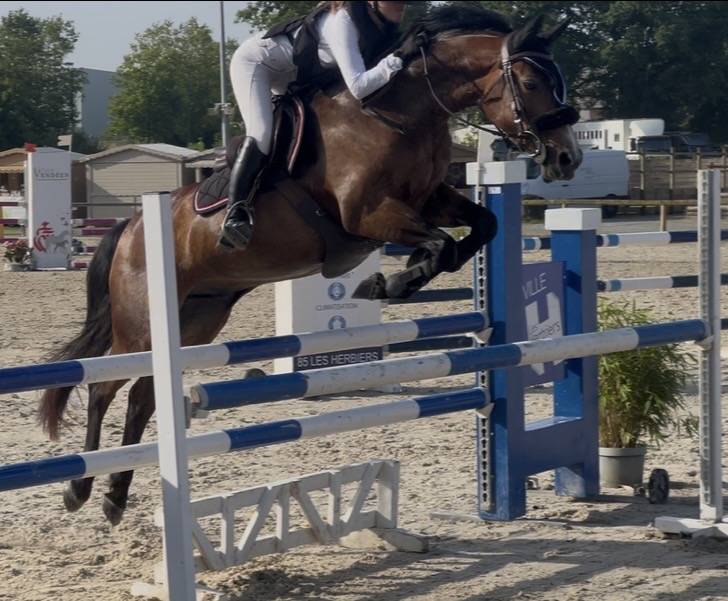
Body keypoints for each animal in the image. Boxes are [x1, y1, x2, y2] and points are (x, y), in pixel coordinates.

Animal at [39, 5, 582, 525]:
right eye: (531, 83)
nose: (567, 159)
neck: (399, 114)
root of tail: (130, 229)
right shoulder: (370, 214)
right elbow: (440, 245)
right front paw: (386, 283)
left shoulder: (429, 200)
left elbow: (479, 228)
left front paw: (393, 281)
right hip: (140, 324)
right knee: (104, 387)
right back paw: (78, 489)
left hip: (196, 319)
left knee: (142, 397)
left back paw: (114, 497)